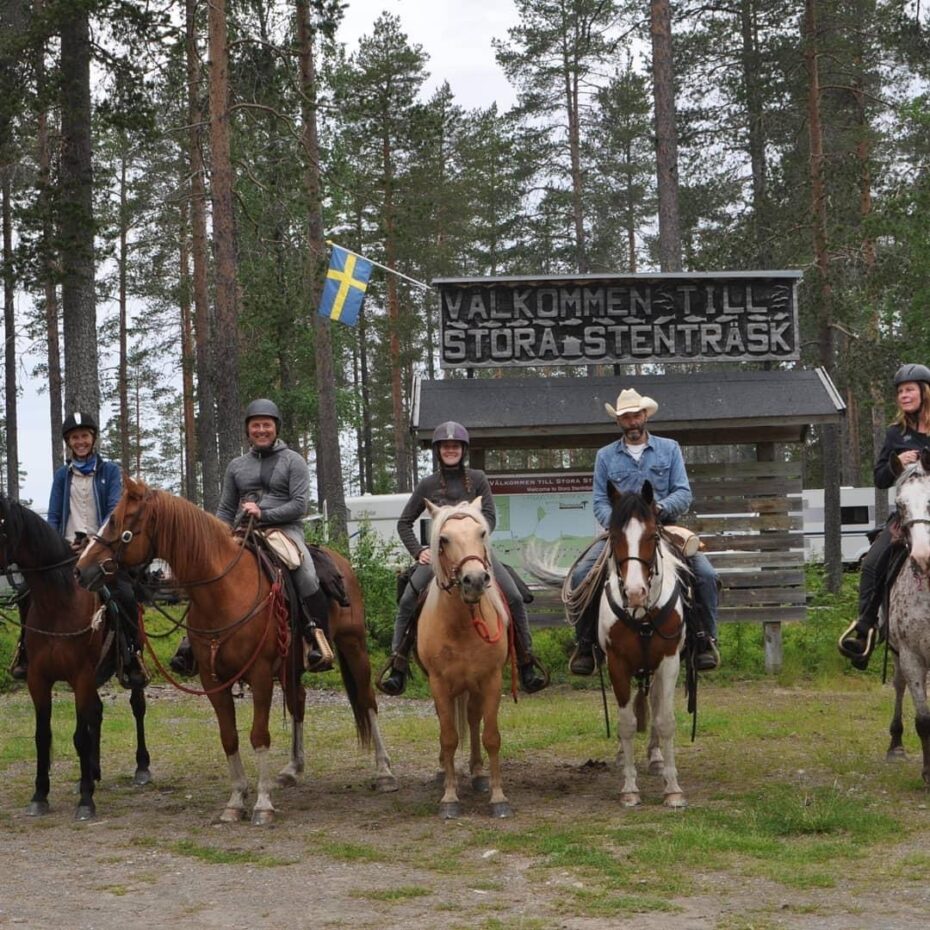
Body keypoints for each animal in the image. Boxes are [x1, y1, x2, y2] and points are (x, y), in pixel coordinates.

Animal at [0, 492, 150, 820]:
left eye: (1, 526)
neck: (58, 603)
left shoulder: (80, 676)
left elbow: (81, 735)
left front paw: (85, 801)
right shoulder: (38, 680)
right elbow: (43, 736)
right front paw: (40, 796)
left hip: (129, 670)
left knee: (137, 707)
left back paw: (141, 767)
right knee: (97, 713)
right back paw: (92, 772)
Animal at [416, 496, 512, 816]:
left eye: (481, 533)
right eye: (443, 539)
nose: (475, 580)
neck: (462, 623)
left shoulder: (492, 680)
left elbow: (491, 736)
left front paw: (498, 797)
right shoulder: (438, 684)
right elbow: (448, 737)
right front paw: (449, 797)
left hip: (474, 686)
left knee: (472, 719)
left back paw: (478, 773)